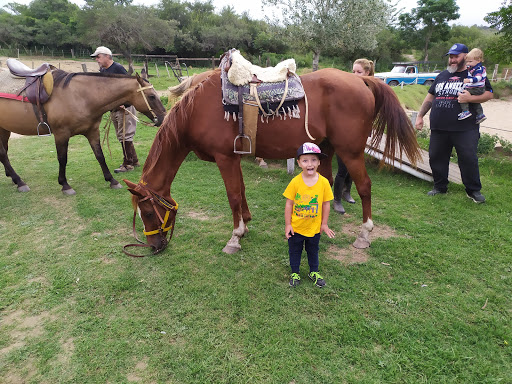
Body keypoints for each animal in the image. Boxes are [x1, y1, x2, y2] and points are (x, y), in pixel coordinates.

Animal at [0, 69, 166, 194]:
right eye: (151, 96)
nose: (163, 118)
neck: (80, 97)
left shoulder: (92, 132)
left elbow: (100, 156)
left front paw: (112, 180)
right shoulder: (61, 134)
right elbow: (62, 159)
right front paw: (65, 185)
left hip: (4, 129)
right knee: (3, 154)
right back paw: (20, 182)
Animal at [125, 68, 420, 255]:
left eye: (148, 213)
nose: (154, 247)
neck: (198, 110)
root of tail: (364, 81)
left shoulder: (225, 158)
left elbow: (232, 195)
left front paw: (235, 237)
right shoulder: (235, 157)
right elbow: (241, 191)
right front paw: (245, 224)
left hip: (350, 152)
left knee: (365, 187)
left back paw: (364, 235)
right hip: (325, 149)